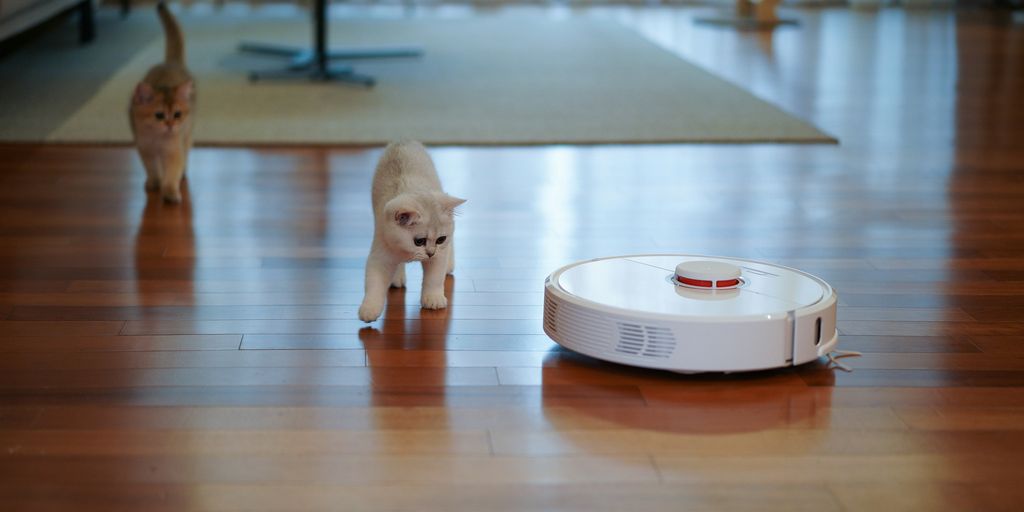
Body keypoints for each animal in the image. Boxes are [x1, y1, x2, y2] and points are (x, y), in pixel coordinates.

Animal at [130, 4, 193, 204]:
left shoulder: (173, 150)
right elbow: (151, 169)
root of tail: (171, 62)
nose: (170, 125)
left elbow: (172, 171)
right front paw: (154, 182)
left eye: (177, 114)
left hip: (187, 134)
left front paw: (171, 192)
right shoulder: (145, 148)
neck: (158, 139)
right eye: (159, 115)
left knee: (186, 151)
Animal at [360, 140, 468, 321]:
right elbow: (373, 284)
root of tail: (402, 140)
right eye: (419, 241)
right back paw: (397, 278)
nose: (430, 252)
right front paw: (369, 309)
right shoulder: (380, 253)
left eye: (440, 239)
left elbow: (434, 279)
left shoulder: (438, 257)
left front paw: (433, 299)